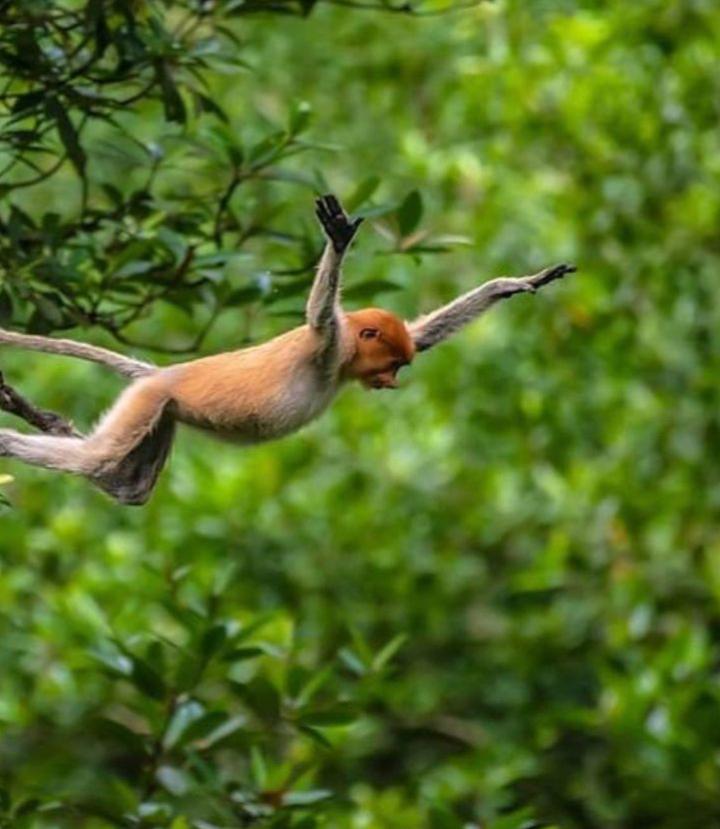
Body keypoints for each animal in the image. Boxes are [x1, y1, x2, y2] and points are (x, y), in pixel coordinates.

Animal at [0, 195, 572, 504]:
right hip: (150, 400)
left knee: (129, 484)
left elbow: (427, 330)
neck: (342, 362)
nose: (392, 382)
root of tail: (166, 371)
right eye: (391, 364)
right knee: (99, 456)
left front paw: (514, 284)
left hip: (163, 408)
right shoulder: (328, 341)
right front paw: (338, 239)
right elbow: (318, 311)